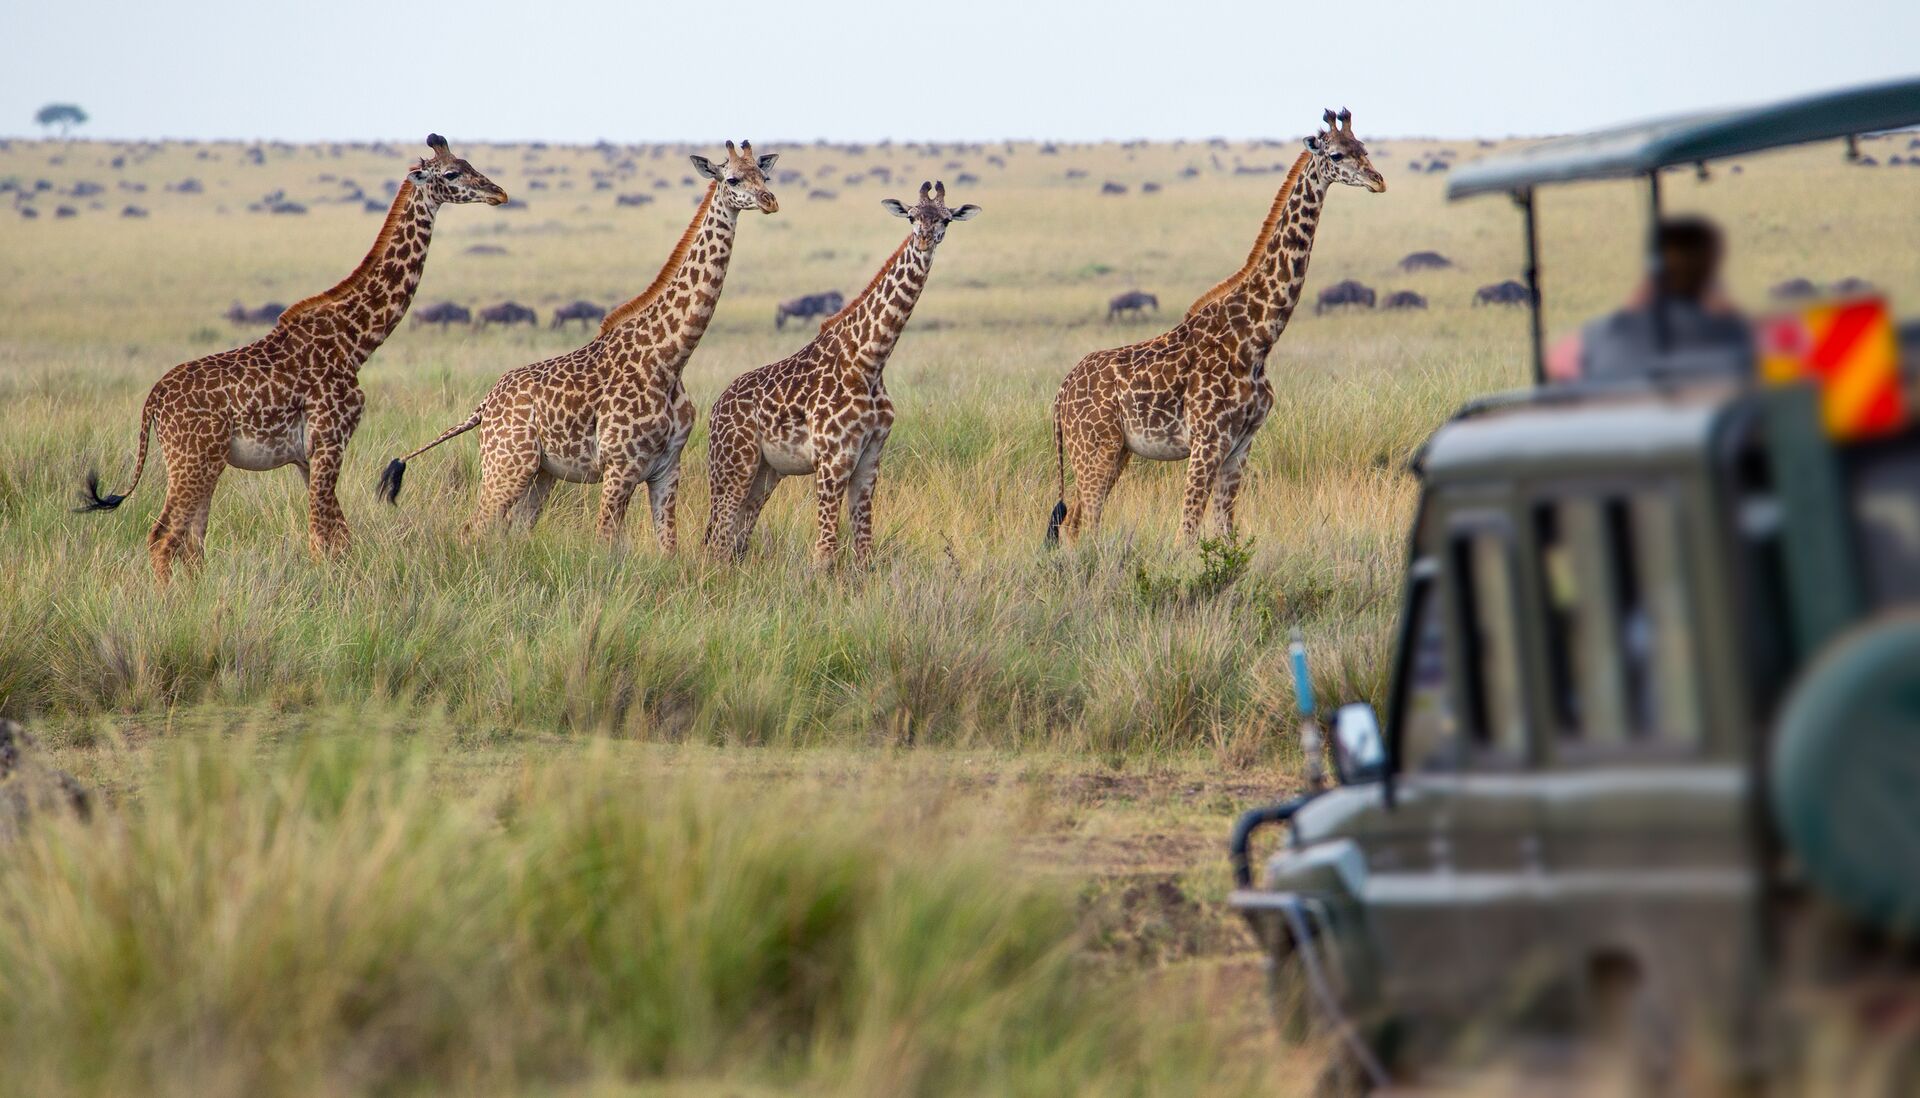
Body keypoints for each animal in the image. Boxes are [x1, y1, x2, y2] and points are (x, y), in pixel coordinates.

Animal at [77, 135, 507, 583]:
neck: (355, 341)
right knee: (164, 537)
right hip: (192, 460)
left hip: (205, 462)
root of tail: (153, 402)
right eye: (452, 173)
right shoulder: (330, 440)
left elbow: (335, 537)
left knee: (191, 542)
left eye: (467, 163)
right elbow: (324, 537)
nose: (499, 193)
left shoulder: (306, 456)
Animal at [378, 141, 779, 550]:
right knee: (474, 527)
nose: (769, 201)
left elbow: (668, 547)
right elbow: (606, 543)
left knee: (513, 529)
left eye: (765, 175)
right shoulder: (620, 466)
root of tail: (484, 406)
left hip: (541, 473)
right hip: (507, 463)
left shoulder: (668, 467)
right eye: (732, 179)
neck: (670, 356)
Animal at [703, 181, 979, 565]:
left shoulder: (870, 459)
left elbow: (864, 549)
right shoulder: (833, 459)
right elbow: (825, 552)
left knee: (735, 538)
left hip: (765, 471)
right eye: (912, 216)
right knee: (717, 538)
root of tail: (716, 408)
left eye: (946, 219)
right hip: (733, 463)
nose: (924, 239)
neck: (871, 359)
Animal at [1045, 109, 1385, 547]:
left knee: (1077, 521)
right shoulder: (1207, 442)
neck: (1257, 339)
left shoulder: (1240, 445)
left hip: (1115, 449)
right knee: (1082, 522)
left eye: (1364, 148)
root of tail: (1060, 396)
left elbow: (1225, 532)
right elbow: (1187, 533)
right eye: (1338, 154)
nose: (1378, 180)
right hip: (1094, 447)